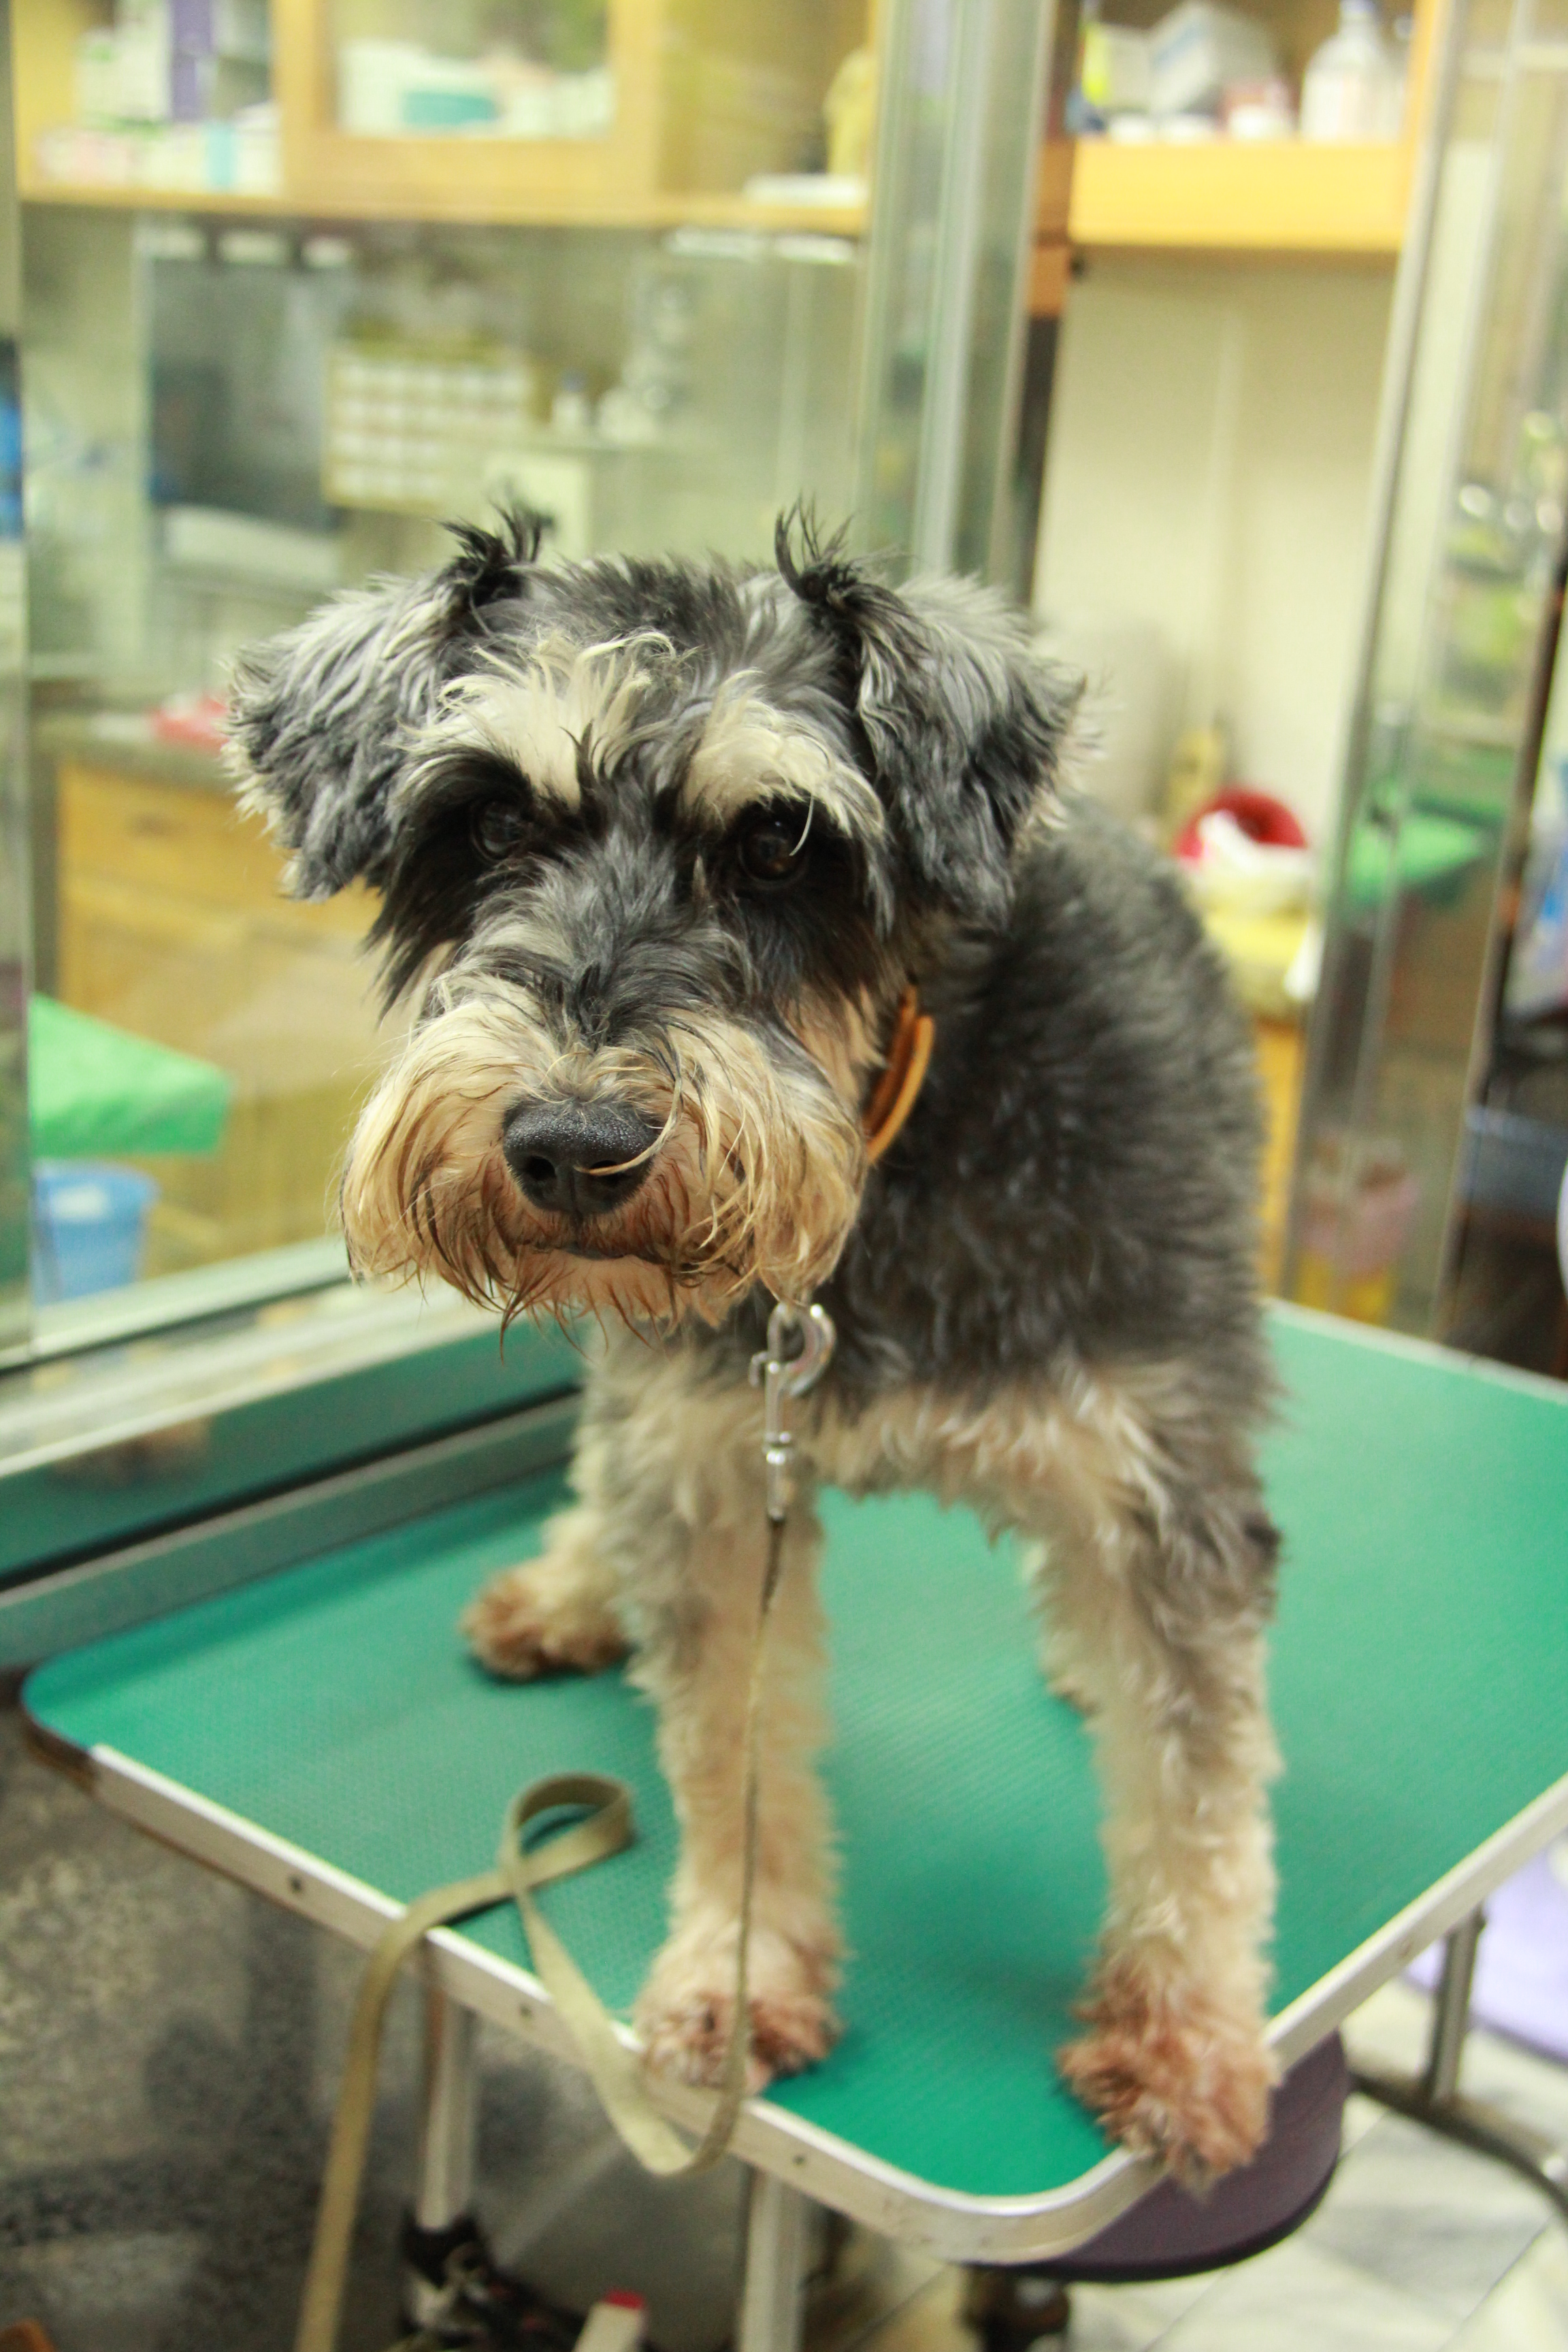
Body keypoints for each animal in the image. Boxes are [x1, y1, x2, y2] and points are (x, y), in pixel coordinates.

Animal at [236, 514, 1288, 2183]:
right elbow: (725, 1749)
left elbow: (1198, 1787)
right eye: (486, 824)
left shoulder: (1158, 1492)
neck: (884, 1150)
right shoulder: (709, 1476)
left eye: (780, 842)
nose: (571, 1144)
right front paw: (742, 1977)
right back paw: (568, 1586)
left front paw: (1183, 2039)